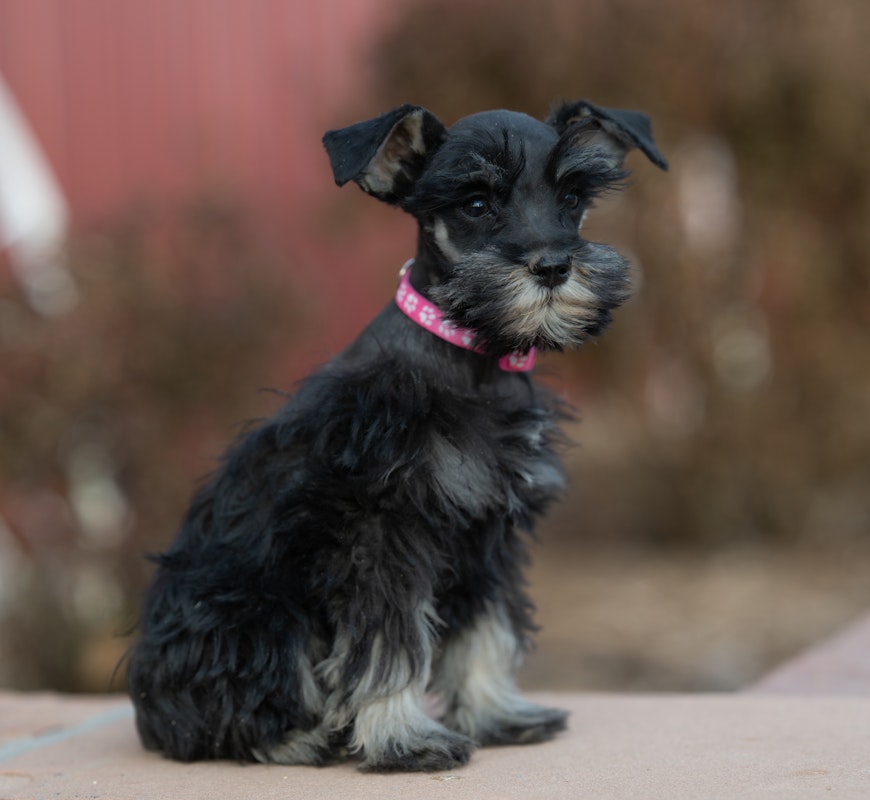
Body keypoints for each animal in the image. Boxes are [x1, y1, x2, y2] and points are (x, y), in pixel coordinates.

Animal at [127, 97, 668, 772]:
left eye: (571, 196)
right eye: (475, 203)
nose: (552, 266)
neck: (473, 359)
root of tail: (147, 711)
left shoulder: (486, 536)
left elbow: (484, 628)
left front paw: (495, 713)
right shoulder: (381, 534)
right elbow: (389, 644)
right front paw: (404, 738)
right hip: (252, 614)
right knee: (225, 712)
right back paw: (306, 736)